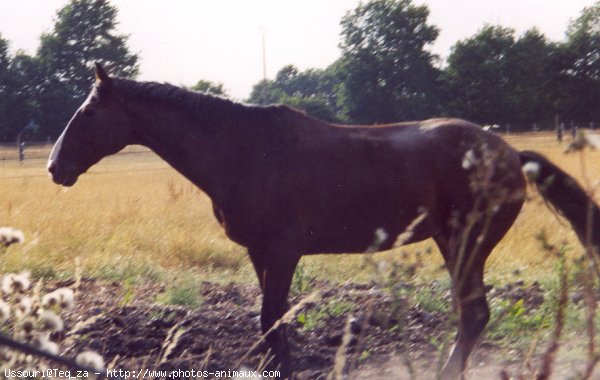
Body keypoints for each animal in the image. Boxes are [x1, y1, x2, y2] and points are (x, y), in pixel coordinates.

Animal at [48, 63, 600, 378]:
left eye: (90, 112)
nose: (56, 167)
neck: (243, 150)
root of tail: (508, 153)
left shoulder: (282, 252)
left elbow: (271, 319)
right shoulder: (260, 253)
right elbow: (272, 322)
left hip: (465, 243)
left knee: (475, 315)